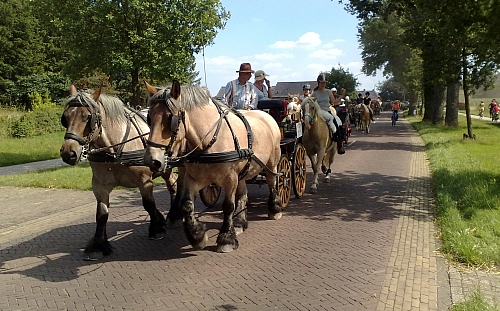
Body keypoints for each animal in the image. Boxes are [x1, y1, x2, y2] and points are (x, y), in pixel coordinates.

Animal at [60, 85, 178, 260]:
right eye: (65, 118)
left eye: (88, 117)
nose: (69, 153)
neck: (115, 150)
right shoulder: (99, 186)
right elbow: (101, 214)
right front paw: (98, 245)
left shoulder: (144, 181)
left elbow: (148, 204)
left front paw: (156, 229)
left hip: (166, 167)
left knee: (174, 185)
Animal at [144, 82, 286, 254]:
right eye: (149, 117)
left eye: (170, 118)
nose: (151, 160)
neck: (208, 143)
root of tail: (266, 115)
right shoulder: (193, 178)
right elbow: (187, 205)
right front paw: (197, 236)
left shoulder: (230, 179)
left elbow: (228, 206)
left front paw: (226, 239)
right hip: (243, 172)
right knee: (243, 194)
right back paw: (239, 223)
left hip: (272, 163)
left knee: (272, 183)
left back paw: (275, 210)